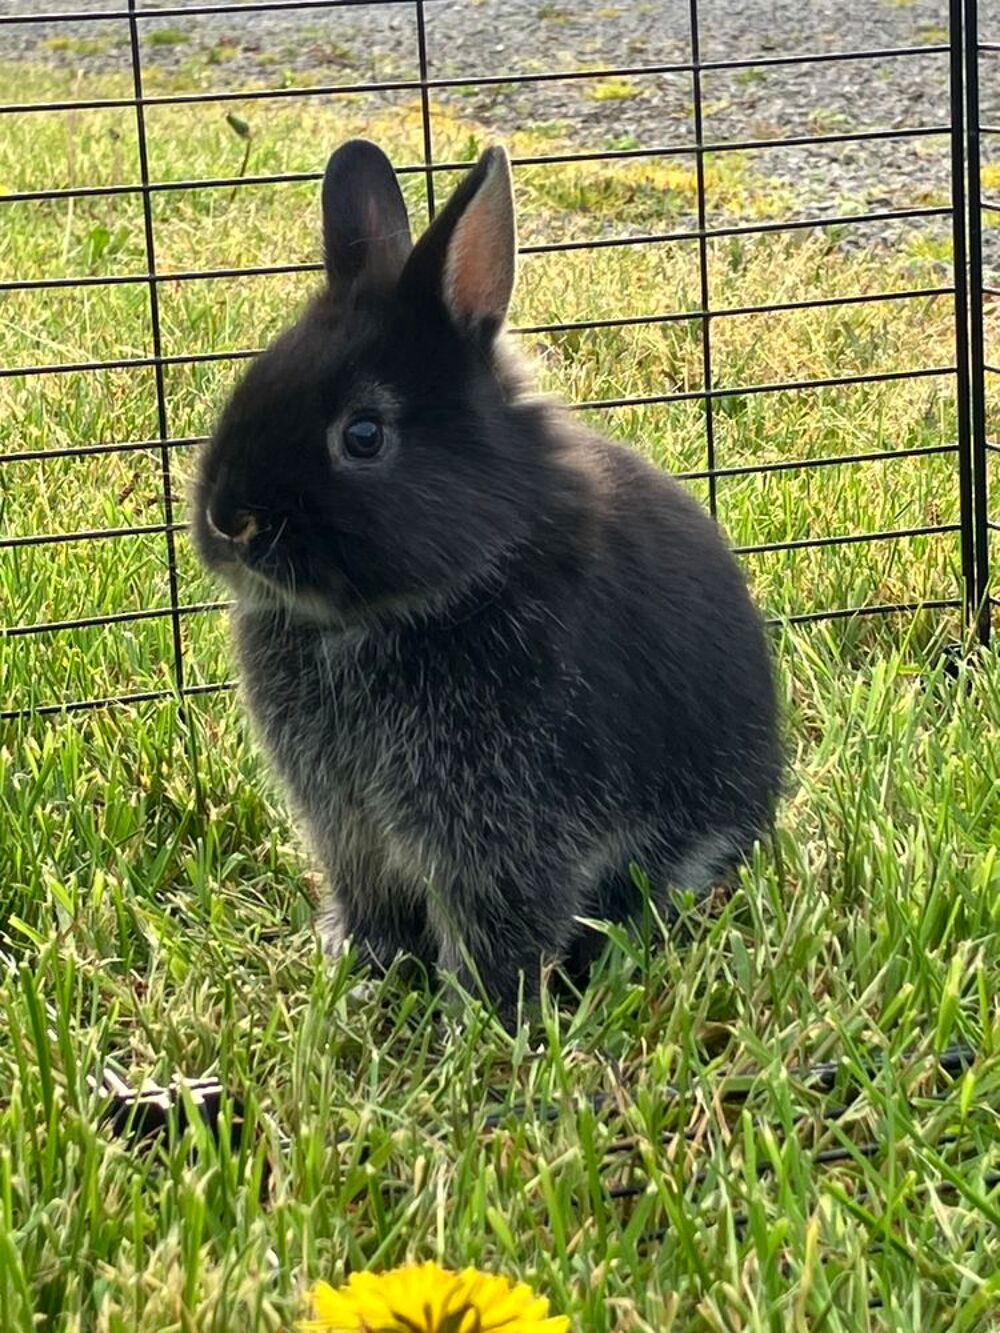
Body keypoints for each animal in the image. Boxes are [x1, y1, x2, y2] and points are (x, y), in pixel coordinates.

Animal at [193, 138, 782, 1022]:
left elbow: (496, 924)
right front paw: (360, 961)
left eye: (363, 435)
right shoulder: (350, 828)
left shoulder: (503, 827)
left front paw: (483, 1019)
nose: (229, 521)